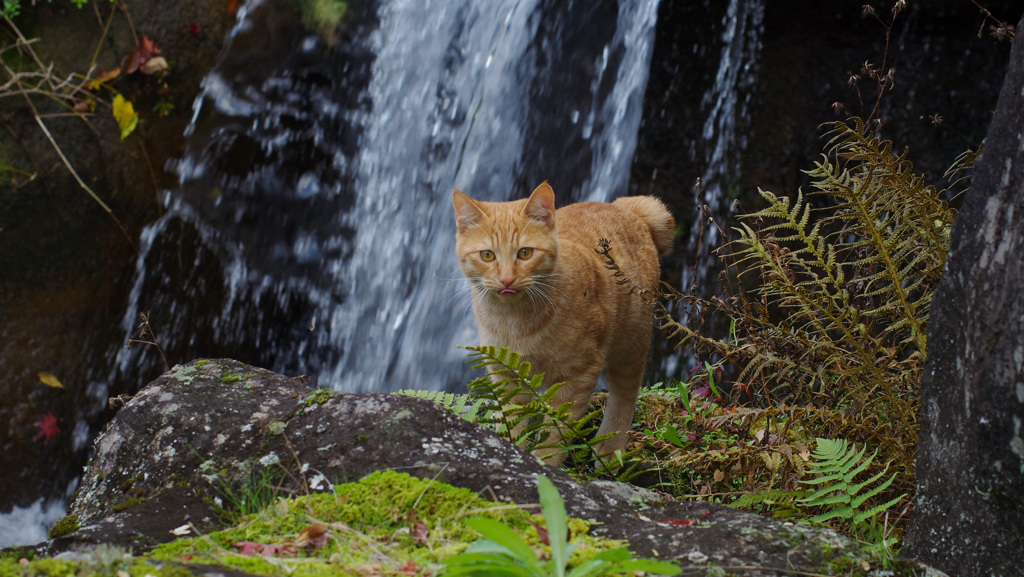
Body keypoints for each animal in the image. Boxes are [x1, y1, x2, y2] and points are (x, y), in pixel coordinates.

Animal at [454, 182, 675, 467]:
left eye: (525, 253)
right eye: (487, 255)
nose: (506, 280)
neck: (514, 320)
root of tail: (622, 206)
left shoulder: (579, 374)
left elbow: (554, 434)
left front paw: (543, 466)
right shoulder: (505, 372)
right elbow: (512, 421)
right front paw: (509, 453)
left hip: (632, 339)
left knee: (625, 391)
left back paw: (611, 446)